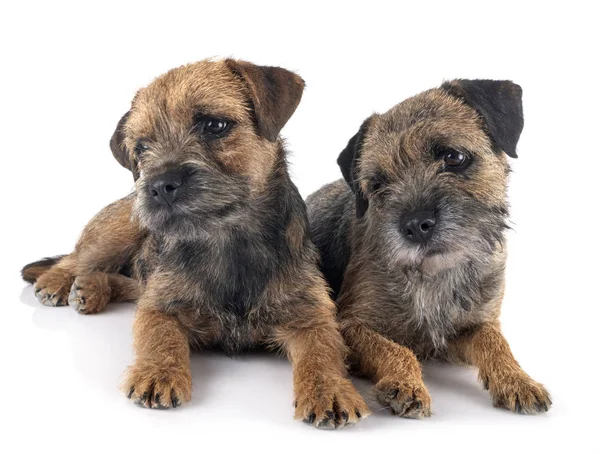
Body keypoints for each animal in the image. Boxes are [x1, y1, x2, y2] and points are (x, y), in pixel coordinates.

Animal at [21, 58, 368, 428]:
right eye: (141, 147)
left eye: (214, 125)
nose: (159, 185)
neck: (227, 240)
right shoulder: (161, 305)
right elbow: (159, 336)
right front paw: (158, 373)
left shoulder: (310, 314)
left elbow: (323, 349)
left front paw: (328, 389)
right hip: (119, 229)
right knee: (77, 258)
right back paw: (58, 282)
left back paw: (90, 288)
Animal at [308, 79, 552, 418]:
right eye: (379, 184)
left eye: (453, 157)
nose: (414, 225)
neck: (434, 273)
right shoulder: (350, 325)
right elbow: (394, 348)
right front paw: (406, 384)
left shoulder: (472, 326)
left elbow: (494, 341)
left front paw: (517, 379)